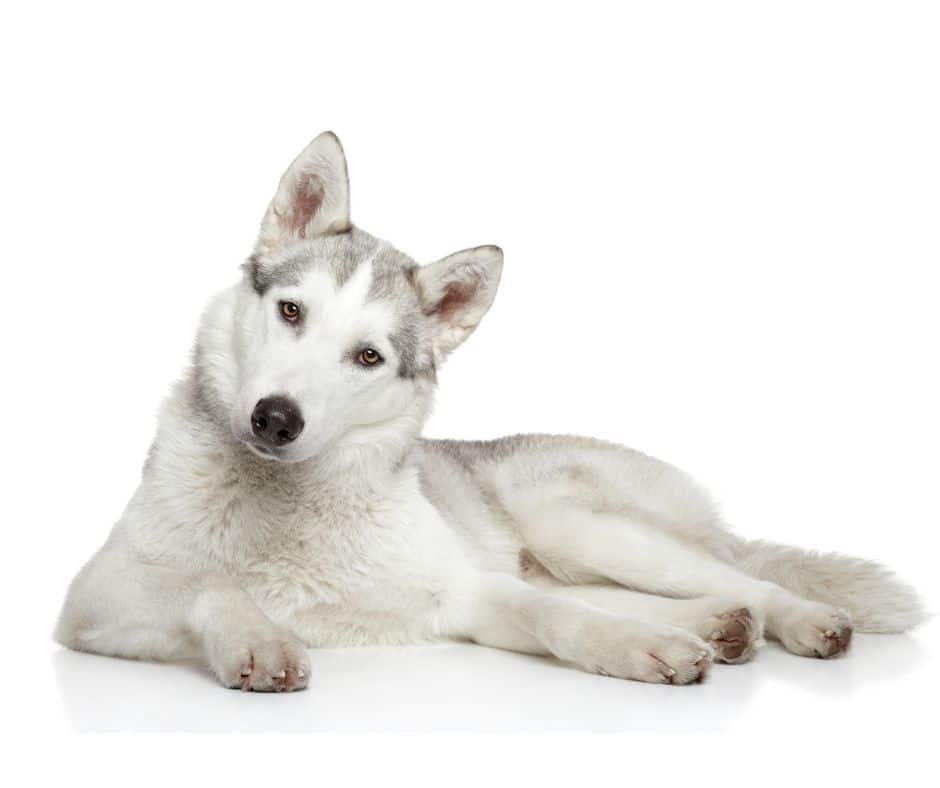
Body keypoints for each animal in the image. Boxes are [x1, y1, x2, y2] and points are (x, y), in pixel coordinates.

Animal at [58, 131, 924, 688]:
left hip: (581, 527)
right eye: (292, 312)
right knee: (667, 590)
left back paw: (791, 620)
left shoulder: (466, 593)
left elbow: (556, 618)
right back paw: (720, 624)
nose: (276, 418)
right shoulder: (94, 595)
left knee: (736, 578)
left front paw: (634, 648)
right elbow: (209, 588)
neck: (293, 511)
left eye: (368, 357)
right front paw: (259, 640)